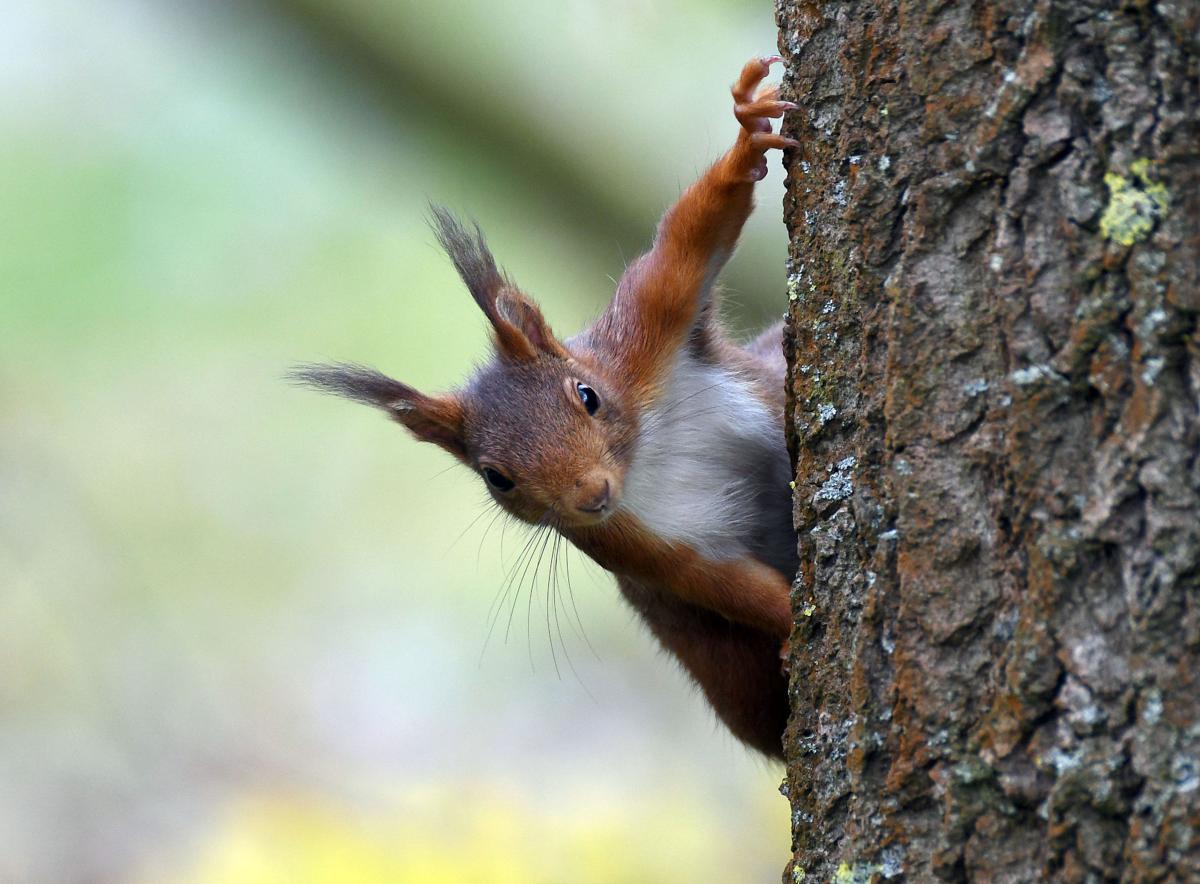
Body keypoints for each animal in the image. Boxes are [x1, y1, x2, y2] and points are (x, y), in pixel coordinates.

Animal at [290, 56, 796, 758]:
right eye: (497, 479)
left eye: (588, 396)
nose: (590, 493)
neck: (644, 457)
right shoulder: (628, 543)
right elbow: (724, 587)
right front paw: (797, 624)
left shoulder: (643, 338)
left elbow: (688, 244)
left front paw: (749, 129)